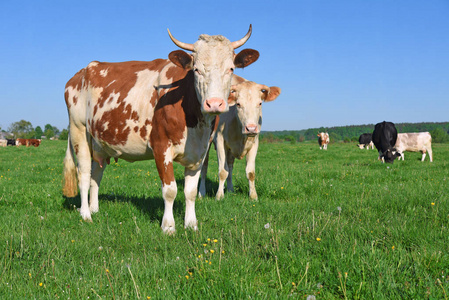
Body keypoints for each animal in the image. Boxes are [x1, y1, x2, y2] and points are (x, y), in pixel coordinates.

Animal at [63, 25, 260, 234]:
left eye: (230, 69)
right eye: (196, 70)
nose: (214, 103)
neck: (195, 122)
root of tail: (83, 72)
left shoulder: (200, 150)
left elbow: (190, 191)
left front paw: (191, 224)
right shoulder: (161, 146)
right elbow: (170, 190)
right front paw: (168, 226)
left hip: (99, 142)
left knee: (96, 174)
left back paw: (94, 208)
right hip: (79, 131)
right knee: (83, 174)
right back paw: (86, 214)